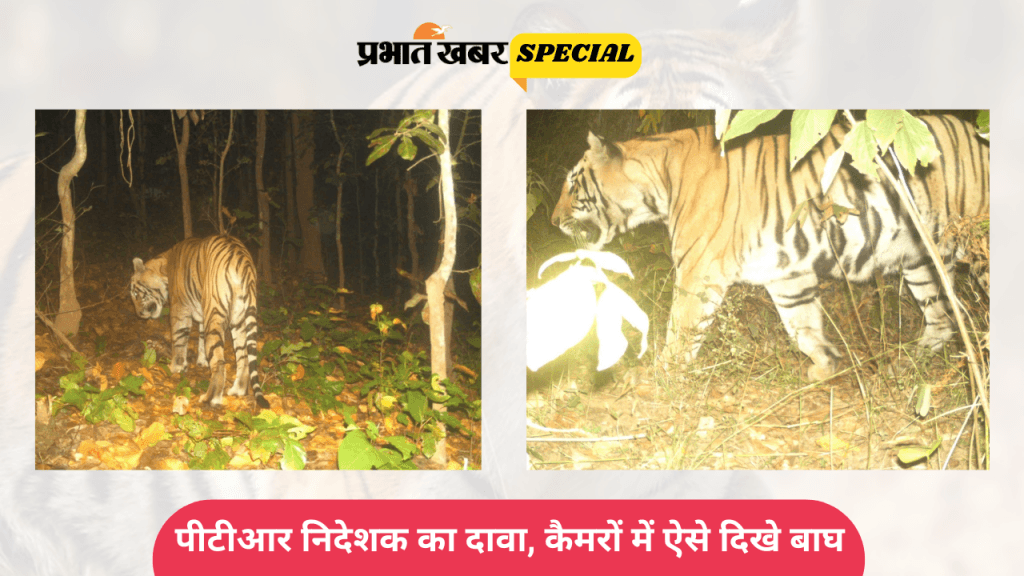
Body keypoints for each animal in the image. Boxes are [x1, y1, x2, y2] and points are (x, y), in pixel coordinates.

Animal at [129, 234, 269, 408]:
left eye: (135, 293)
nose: (139, 314)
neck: (164, 266)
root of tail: (242, 258)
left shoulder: (180, 309)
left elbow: (179, 340)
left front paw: (175, 367)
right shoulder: (203, 313)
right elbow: (201, 340)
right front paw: (201, 362)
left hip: (215, 313)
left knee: (219, 362)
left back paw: (210, 398)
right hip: (238, 318)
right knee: (243, 356)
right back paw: (238, 390)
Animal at [550, 113, 989, 381]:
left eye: (573, 183)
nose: (552, 221)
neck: (659, 183)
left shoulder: (697, 271)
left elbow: (681, 330)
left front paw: (658, 380)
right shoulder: (788, 275)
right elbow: (803, 328)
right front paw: (826, 367)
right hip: (920, 261)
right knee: (943, 319)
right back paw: (907, 364)